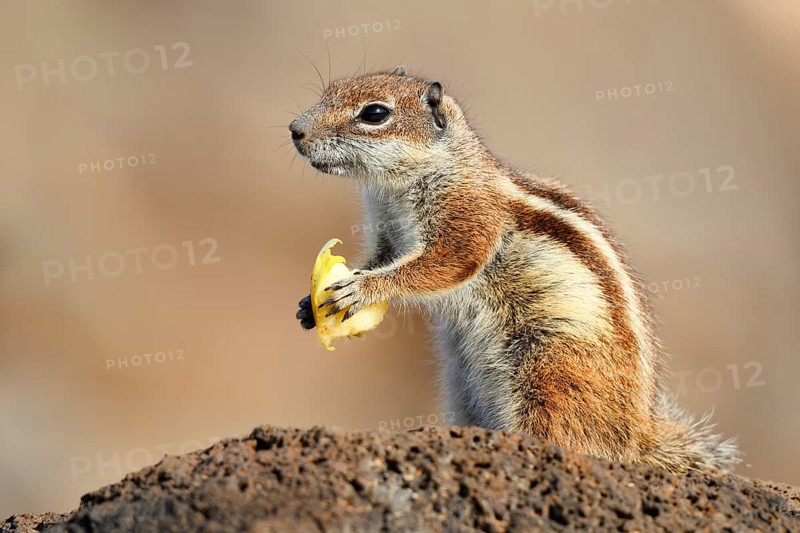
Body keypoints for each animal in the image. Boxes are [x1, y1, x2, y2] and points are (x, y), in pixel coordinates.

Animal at [291, 66, 740, 473]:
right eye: (331, 90)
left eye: (375, 113)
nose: (296, 130)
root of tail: (636, 437)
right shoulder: (387, 231)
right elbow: (383, 256)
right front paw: (309, 306)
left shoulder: (467, 219)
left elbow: (445, 263)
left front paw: (362, 288)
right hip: (462, 386)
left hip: (549, 376)